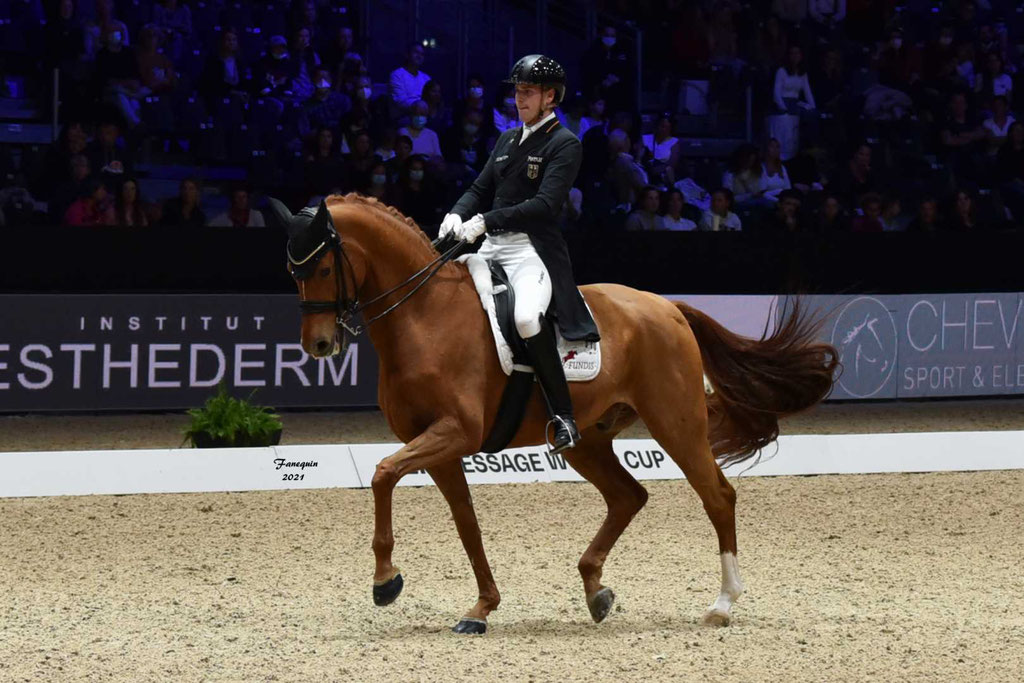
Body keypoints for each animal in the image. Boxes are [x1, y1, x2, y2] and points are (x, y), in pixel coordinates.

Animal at [280, 193, 839, 634]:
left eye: (324, 268)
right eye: (293, 272)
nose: (319, 346)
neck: (424, 316)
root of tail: (666, 306)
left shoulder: (454, 432)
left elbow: (381, 473)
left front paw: (385, 582)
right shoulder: (438, 444)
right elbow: (465, 521)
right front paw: (481, 608)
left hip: (675, 424)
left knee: (717, 496)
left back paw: (722, 604)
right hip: (588, 439)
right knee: (628, 496)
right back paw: (596, 590)